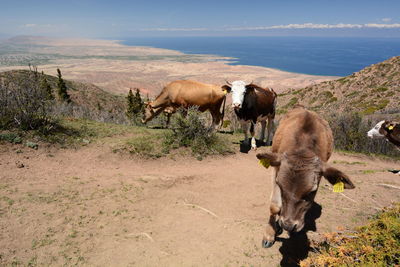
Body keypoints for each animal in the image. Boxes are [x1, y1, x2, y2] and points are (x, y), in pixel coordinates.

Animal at [255, 105, 354, 248]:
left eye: (312, 192)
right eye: (280, 185)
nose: (288, 225)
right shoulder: (276, 168)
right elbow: (274, 205)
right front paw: (269, 233)